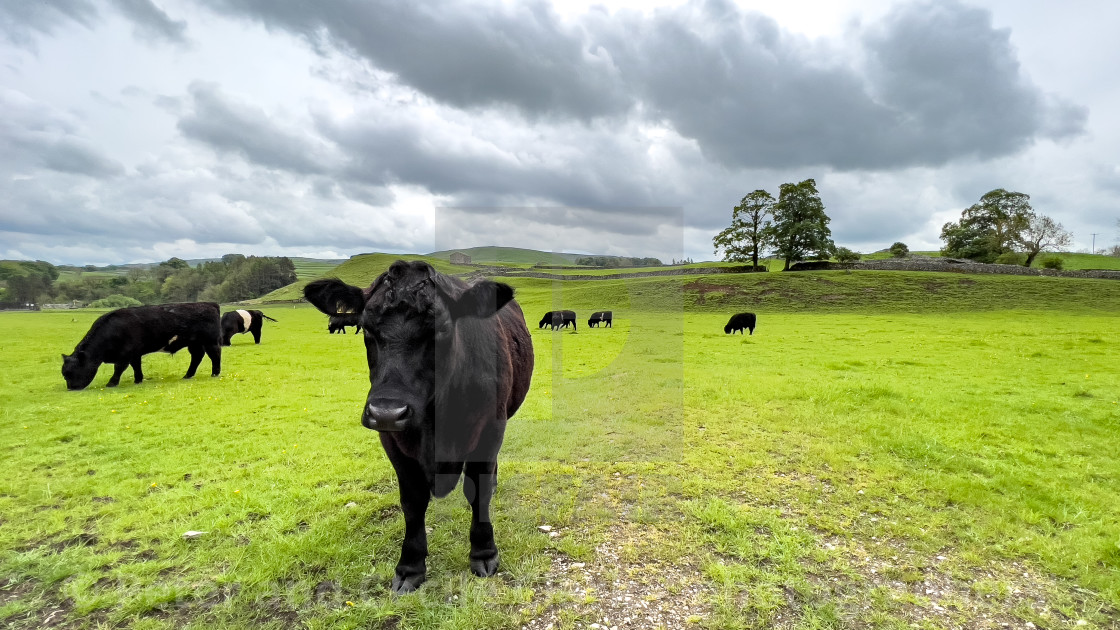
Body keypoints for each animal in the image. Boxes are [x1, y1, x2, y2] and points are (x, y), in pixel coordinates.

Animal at [61, 300, 222, 387]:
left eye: (71, 372)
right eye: (64, 373)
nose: (71, 388)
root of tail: (209, 304)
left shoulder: (125, 354)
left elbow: (119, 368)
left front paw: (111, 383)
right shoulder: (134, 353)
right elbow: (136, 366)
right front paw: (138, 379)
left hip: (210, 341)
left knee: (214, 354)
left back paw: (215, 373)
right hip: (194, 343)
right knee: (197, 356)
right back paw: (188, 375)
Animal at [304, 257, 535, 591]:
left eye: (442, 329)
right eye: (366, 328)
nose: (387, 411)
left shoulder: (491, 429)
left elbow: (478, 489)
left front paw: (483, 552)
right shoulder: (393, 441)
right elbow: (413, 502)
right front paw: (410, 567)